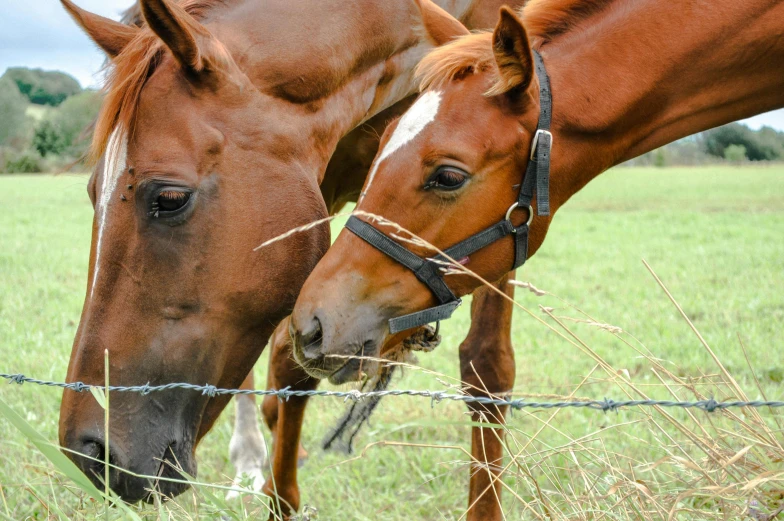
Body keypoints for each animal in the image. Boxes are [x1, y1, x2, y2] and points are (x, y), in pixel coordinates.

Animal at [56, 0, 516, 512]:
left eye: (170, 198)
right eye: (93, 193)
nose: (88, 451)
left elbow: (486, 366)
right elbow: (292, 359)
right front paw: (278, 490)